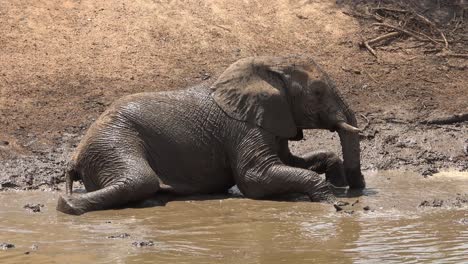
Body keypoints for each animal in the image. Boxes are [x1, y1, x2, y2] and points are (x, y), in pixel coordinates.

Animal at [56, 55, 366, 214]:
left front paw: (337, 183)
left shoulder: (273, 119)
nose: (359, 188)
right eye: (317, 92)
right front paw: (334, 201)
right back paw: (68, 206)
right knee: (139, 179)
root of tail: (75, 157)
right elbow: (254, 178)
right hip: (112, 141)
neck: (268, 66)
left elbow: (292, 162)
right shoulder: (243, 127)